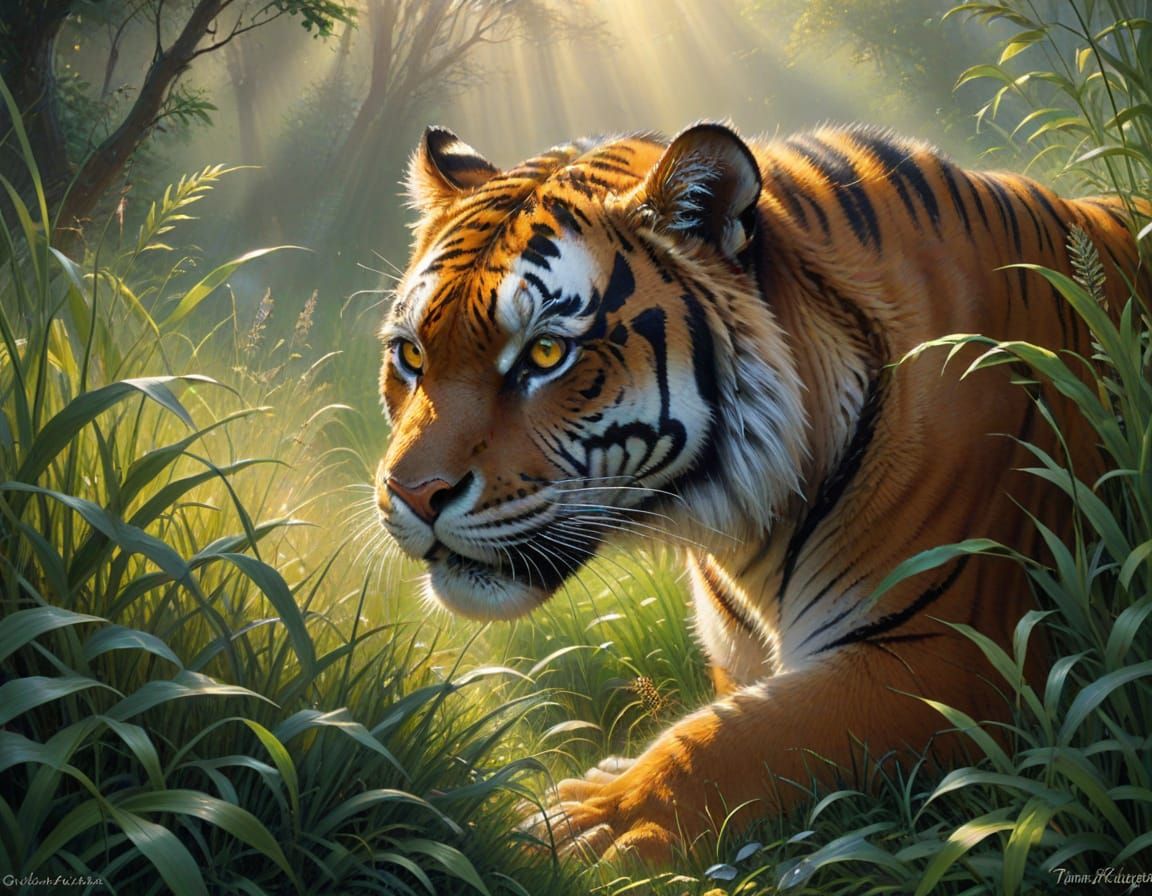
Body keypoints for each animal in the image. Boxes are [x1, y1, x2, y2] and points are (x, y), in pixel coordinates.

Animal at [374, 121, 1148, 863]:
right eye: (411, 355)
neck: (747, 535)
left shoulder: (955, 656)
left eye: (544, 353)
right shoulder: (739, 662)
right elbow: (730, 714)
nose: (412, 495)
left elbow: (743, 734)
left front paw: (593, 820)